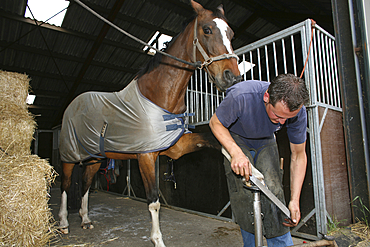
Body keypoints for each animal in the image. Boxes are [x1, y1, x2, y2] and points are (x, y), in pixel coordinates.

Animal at [58, 0, 240, 246]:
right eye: (207, 30)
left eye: (231, 33)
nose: (232, 77)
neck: (159, 95)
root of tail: (72, 105)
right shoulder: (145, 156)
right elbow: (153, 201)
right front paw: (158, 240)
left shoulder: (176, 147)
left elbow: (213, 139)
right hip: (69, 156)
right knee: (66, 185)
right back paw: (63, 223)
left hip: (94, 159)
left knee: (86, 184)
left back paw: (85, 219)